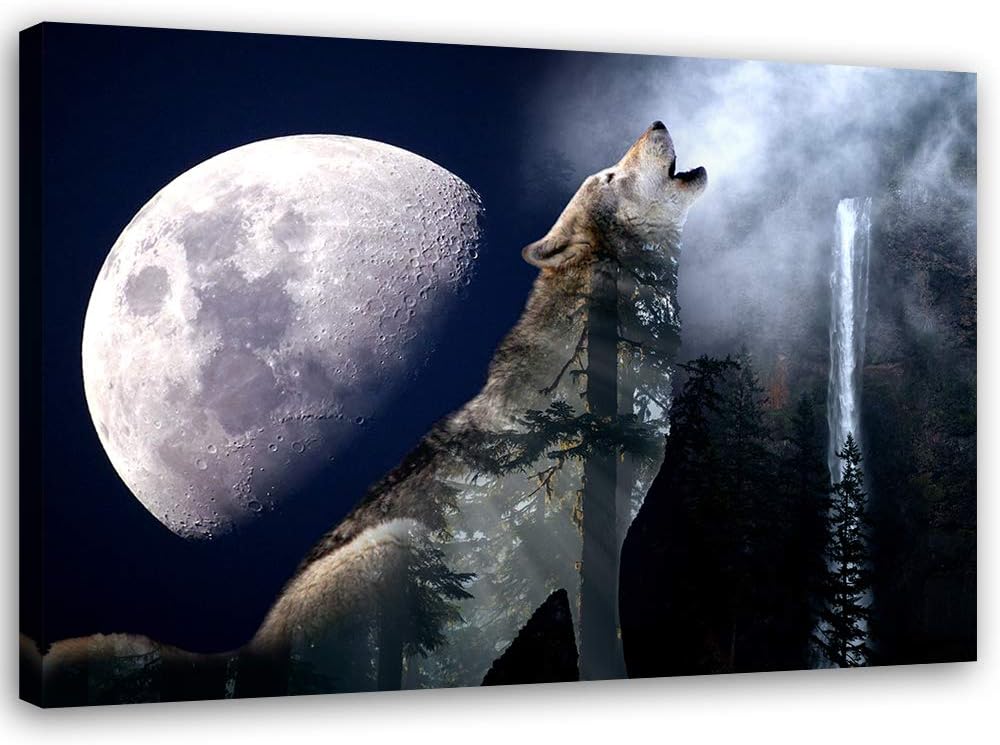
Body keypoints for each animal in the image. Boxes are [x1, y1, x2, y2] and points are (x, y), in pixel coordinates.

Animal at [39, 122, 706, 703]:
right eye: (611, 175)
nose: (656, 123)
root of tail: (244, 653)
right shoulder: (588, 548)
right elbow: (605, 658)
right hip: (397, 551)